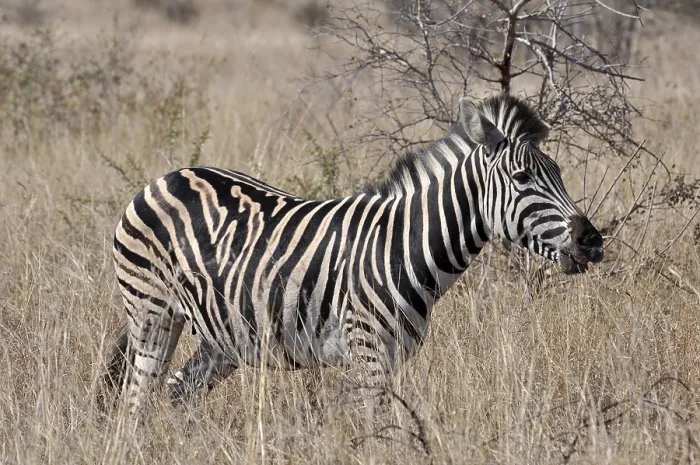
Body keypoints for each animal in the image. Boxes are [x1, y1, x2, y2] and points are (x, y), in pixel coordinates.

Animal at [105, 94, 604, 415]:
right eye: (522, 178)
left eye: (558, 172)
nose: (591, 241)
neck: (402, 248)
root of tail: (167, 177)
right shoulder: (368, 353)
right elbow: (377, 431)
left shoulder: (389, 358)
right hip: (152, 314)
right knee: (135, 400)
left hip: (222, 334)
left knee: (176, 394)